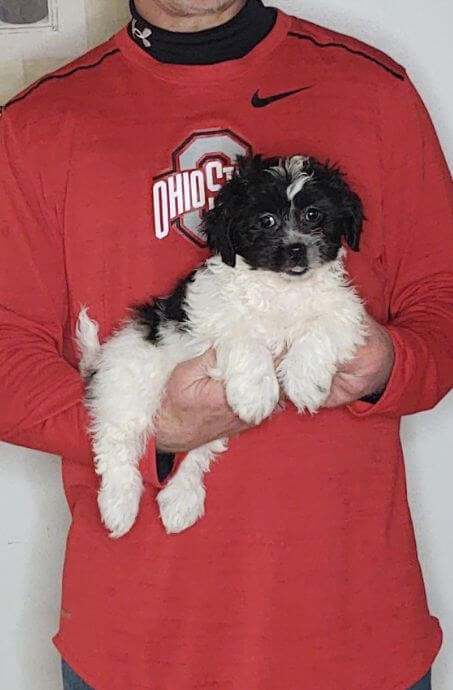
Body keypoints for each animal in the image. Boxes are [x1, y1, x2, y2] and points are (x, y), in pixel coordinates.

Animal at [77, 155, 368, 536]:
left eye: (314, 214)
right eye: (266, 220)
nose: (296, 248)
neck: (282, 290)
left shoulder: (344, 312)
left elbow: (320, 331)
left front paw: (306, 382)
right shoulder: (210, 312)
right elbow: (246, 337)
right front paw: (257, 393)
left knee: (195, 454)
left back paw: (180, 500)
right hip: (130, 384)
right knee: (116, 441)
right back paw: (119, 504)